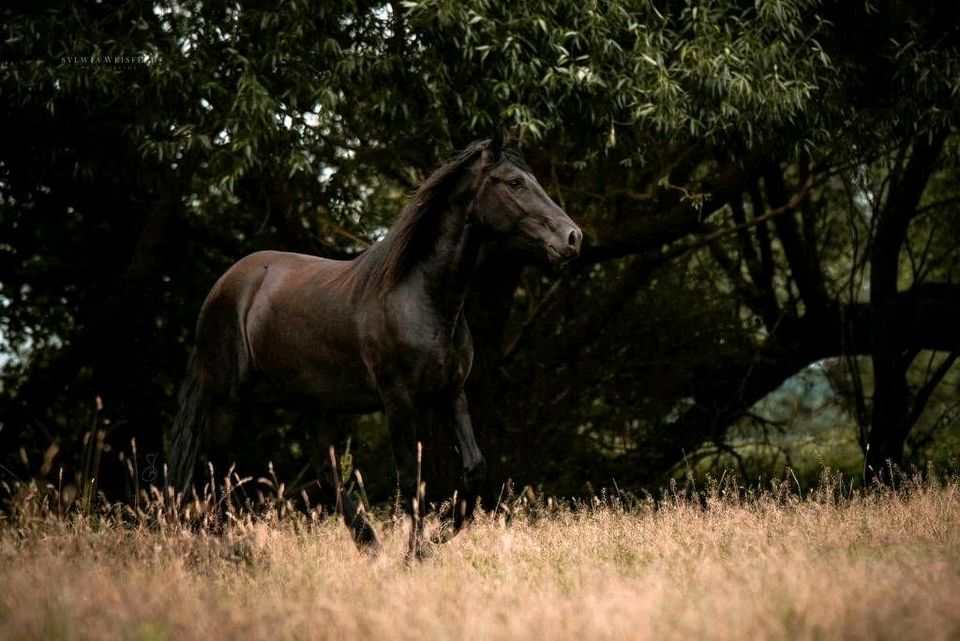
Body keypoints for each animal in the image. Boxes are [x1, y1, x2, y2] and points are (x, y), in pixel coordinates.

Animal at [169, 132, 580, 552]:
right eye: (515, 182)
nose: (573, 237)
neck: (420, 297)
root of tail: (223, 286)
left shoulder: (451, 393)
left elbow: (474, 468)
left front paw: (435, 537)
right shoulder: (397, 398)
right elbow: (411, 477)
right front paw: (415, 552)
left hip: (315, 404)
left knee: (324, 472)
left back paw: (368, 542)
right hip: (227, 400)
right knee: (215, 470)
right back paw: (230, 548)